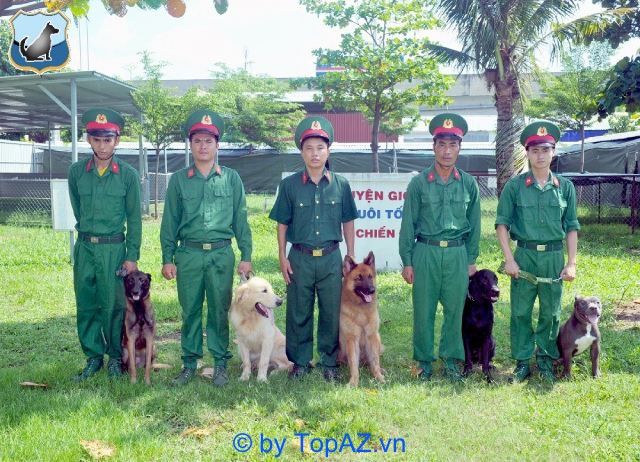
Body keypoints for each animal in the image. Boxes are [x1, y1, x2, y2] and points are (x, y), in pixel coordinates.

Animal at [338, 251, 382, 388]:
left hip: (378, 339)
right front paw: (354, 382)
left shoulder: (372, 336)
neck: (361, 310)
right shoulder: (352, 340)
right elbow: (353, 363)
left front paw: (379, 377)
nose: (372, 290)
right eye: (359, 278)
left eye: (370, 277)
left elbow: (375, 361)